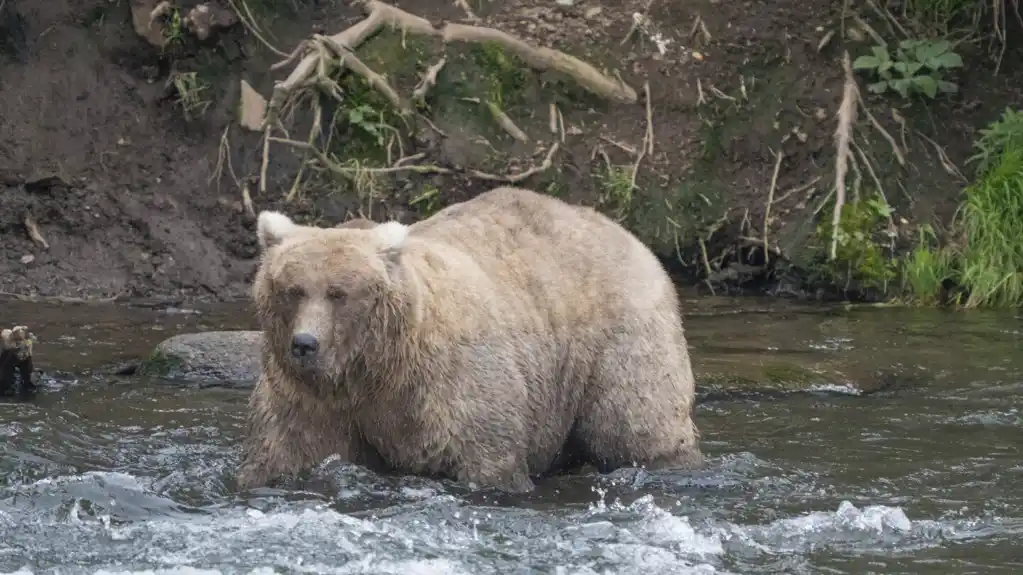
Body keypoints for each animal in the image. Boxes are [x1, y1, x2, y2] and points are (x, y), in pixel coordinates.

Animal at [236, 186, 703, 491]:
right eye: (292, 289)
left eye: (339, 293)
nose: (305, 344)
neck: (375, 369)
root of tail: (627, 235)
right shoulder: (310, 399)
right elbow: (287, 450)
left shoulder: (448, 384)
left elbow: (485, 455)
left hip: (617, 339)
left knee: (634, 423)